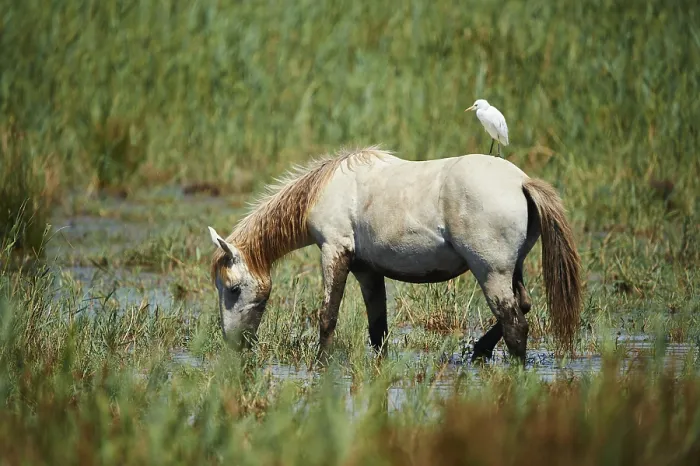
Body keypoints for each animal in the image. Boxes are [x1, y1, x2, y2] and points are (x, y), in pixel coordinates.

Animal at [207, 146, 582, 365]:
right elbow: (378, 328)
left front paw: (320, 365)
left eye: (234, 289)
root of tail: (521, 182)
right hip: (512, 268)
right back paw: (479, 352)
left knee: (515, 324)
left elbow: (327, 316)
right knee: (522, 307)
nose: (234, 344)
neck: (327, 189)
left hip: (491, 272)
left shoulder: (334, 252)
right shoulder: (367, 271)